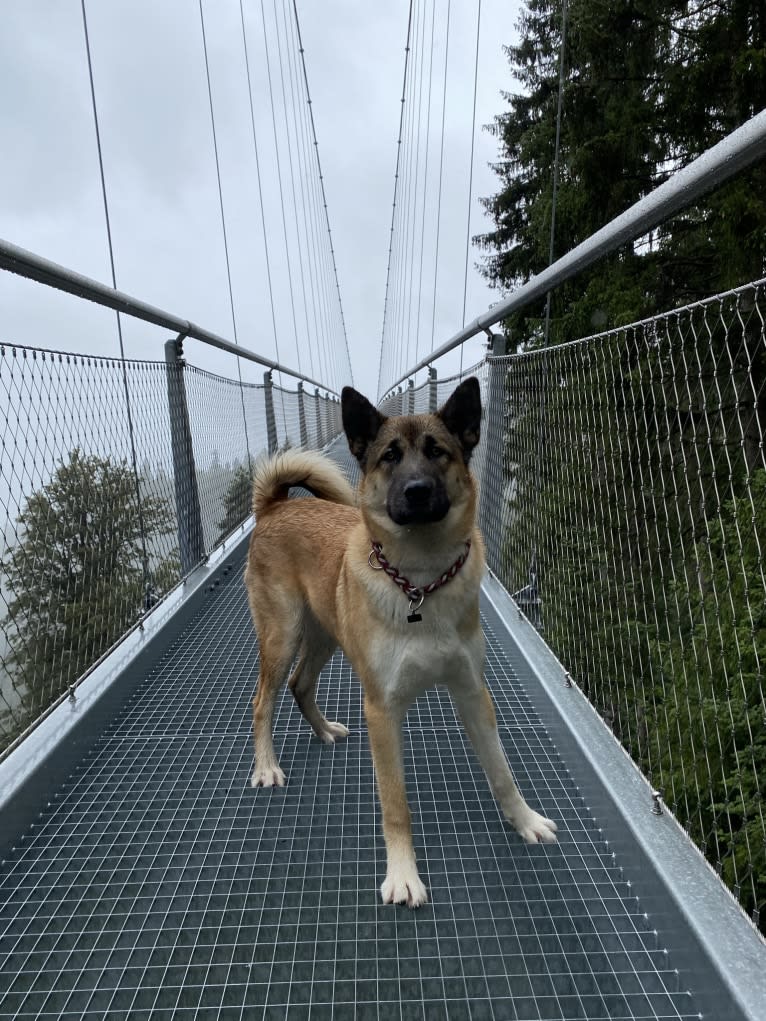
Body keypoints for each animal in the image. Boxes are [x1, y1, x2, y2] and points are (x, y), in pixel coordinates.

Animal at [246, 379, 559, 906]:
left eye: (437, 452)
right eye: (390, 456)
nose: (417, 491)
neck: (421, 582)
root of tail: (278, 504)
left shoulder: (472, 691)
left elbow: (502, 771)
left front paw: (525, 820)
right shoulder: (382, 709)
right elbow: (396, 805)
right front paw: (402, 875)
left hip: (325, 637)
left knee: (299, 684)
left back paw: (324, 729)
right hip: (283, 634)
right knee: (264, 700)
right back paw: (267, 766)